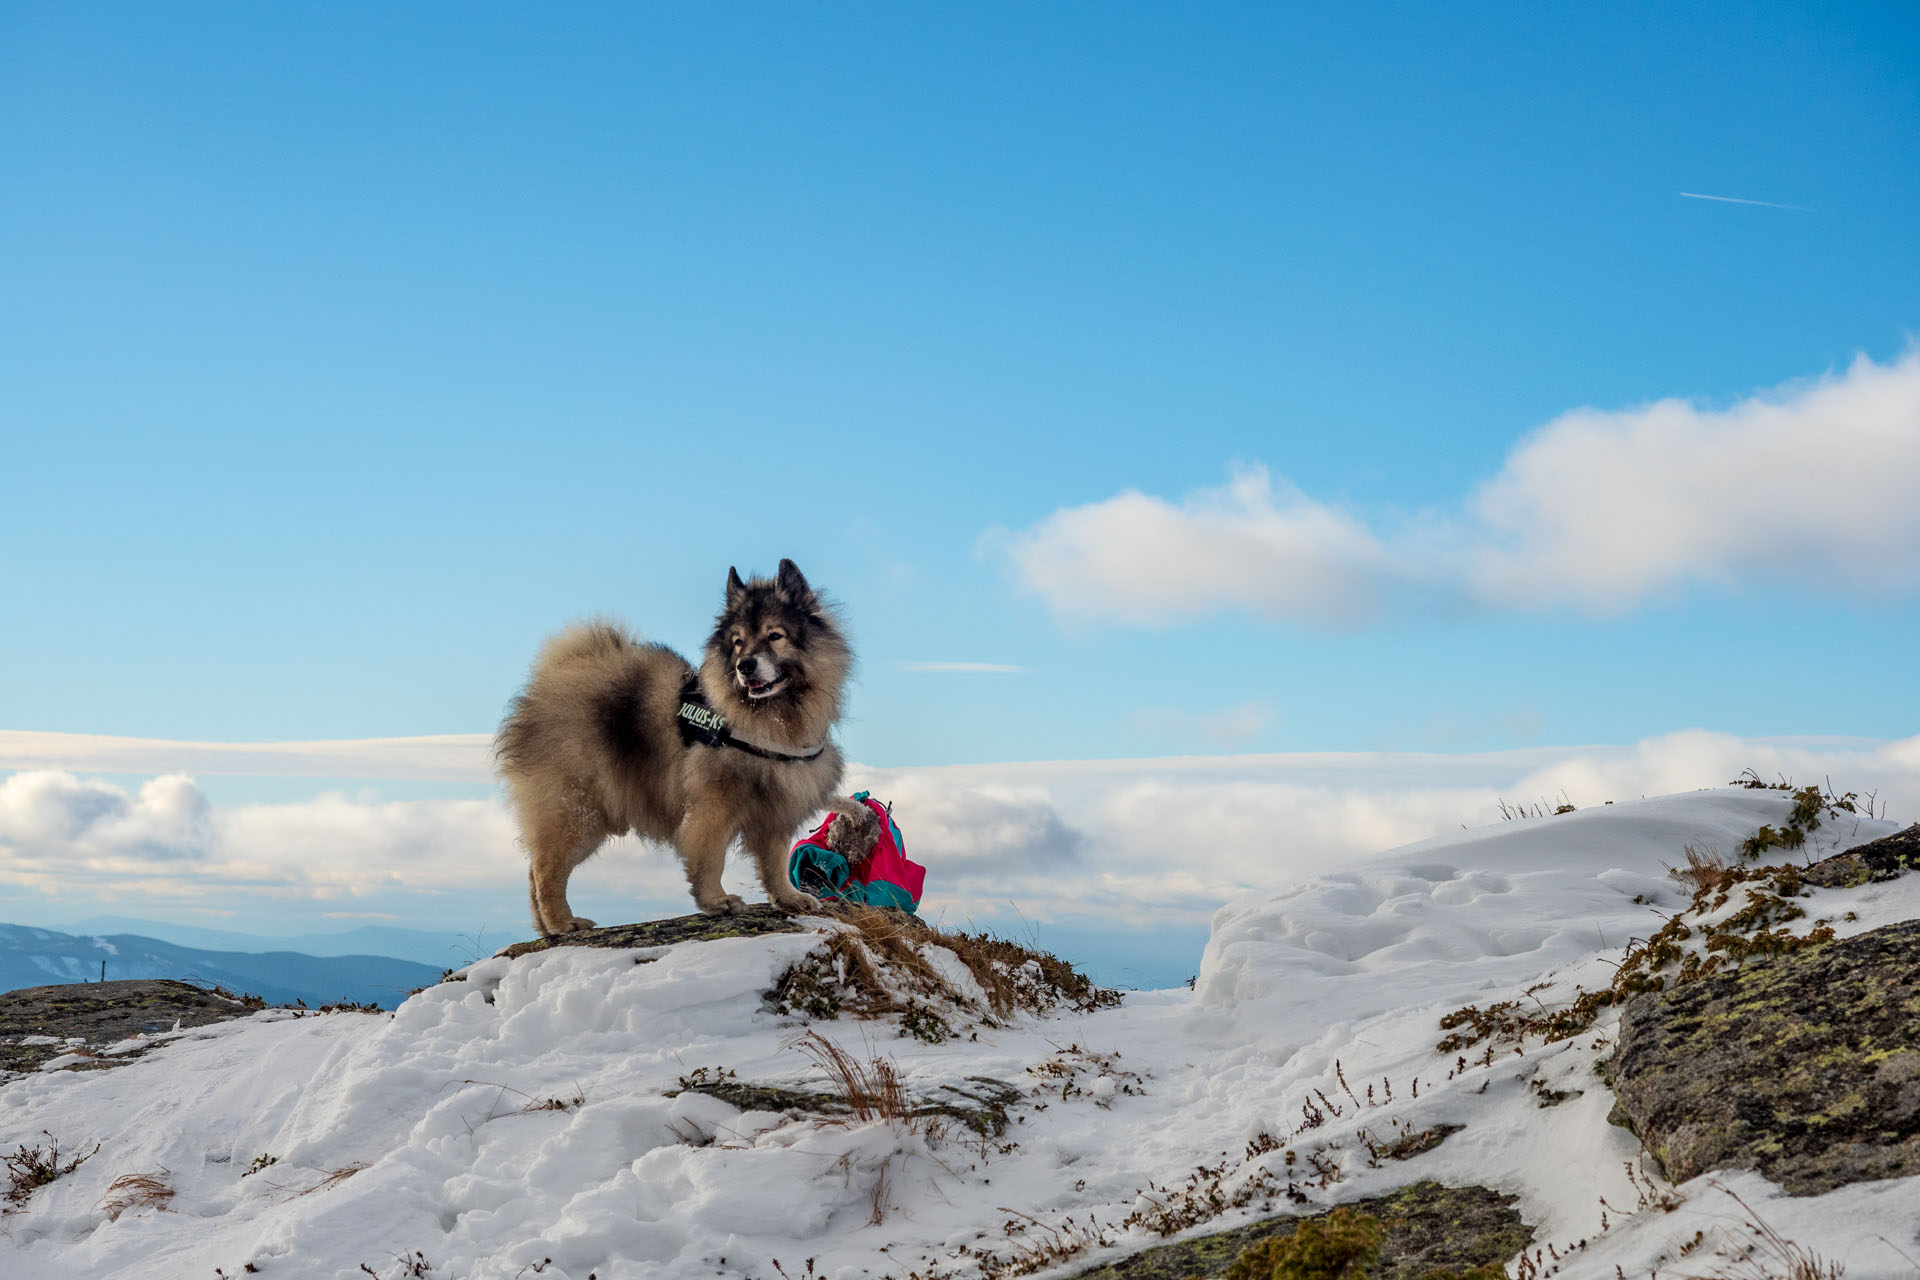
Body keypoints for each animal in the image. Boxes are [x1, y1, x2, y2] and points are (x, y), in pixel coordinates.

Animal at [495, 556, 871, 932]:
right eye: (738, 642)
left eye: (774, 636)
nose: (745, 665)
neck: (771, 718)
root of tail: (549, 683)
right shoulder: (714, 803)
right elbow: (710, 856)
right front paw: (717, 901)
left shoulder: (775, 806)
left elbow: (774, 861)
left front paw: (788, 897)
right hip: (579, 810)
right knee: (546, 870)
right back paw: (562, 922)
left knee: (533, 872)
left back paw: (545, 927)